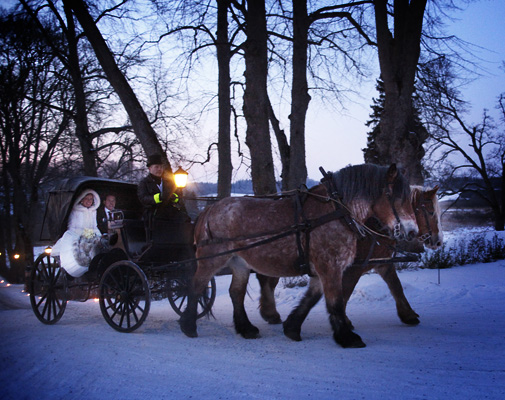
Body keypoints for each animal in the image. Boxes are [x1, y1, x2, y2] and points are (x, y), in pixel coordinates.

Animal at [180, 162, 418, 346]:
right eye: (395, 196)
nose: (412, 231)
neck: (336, 213)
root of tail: (210, 209)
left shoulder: (324, 268)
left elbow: (312, 298)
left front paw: (292, 328)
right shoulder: (330, 266)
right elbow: (335, 301)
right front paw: (346, 337)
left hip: (239, 262)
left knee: (235, 293)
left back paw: (246, 328)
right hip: (212, 258)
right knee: (196, 286)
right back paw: (188, 325)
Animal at [280, 186, 440, 342]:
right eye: (431, 212)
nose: (438, 241)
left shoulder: (383, 264)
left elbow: (396, 286)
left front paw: (408, 314)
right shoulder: (352, 269)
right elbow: (343, 295)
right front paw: (344, 323)